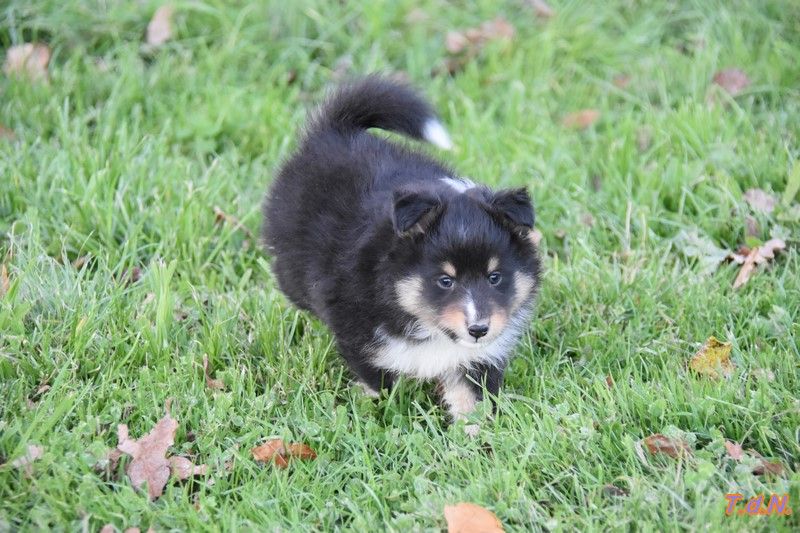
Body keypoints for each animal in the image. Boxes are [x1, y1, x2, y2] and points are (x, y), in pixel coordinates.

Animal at [260, 76, 536, 424]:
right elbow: (378, 378)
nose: (478, 329)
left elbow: (472, 399)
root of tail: (335, 130)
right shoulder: (357, 331)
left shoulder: (477, 358)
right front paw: (377, 411)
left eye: (495, 277)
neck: (428, 325)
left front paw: (475, 433)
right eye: (445, 281)